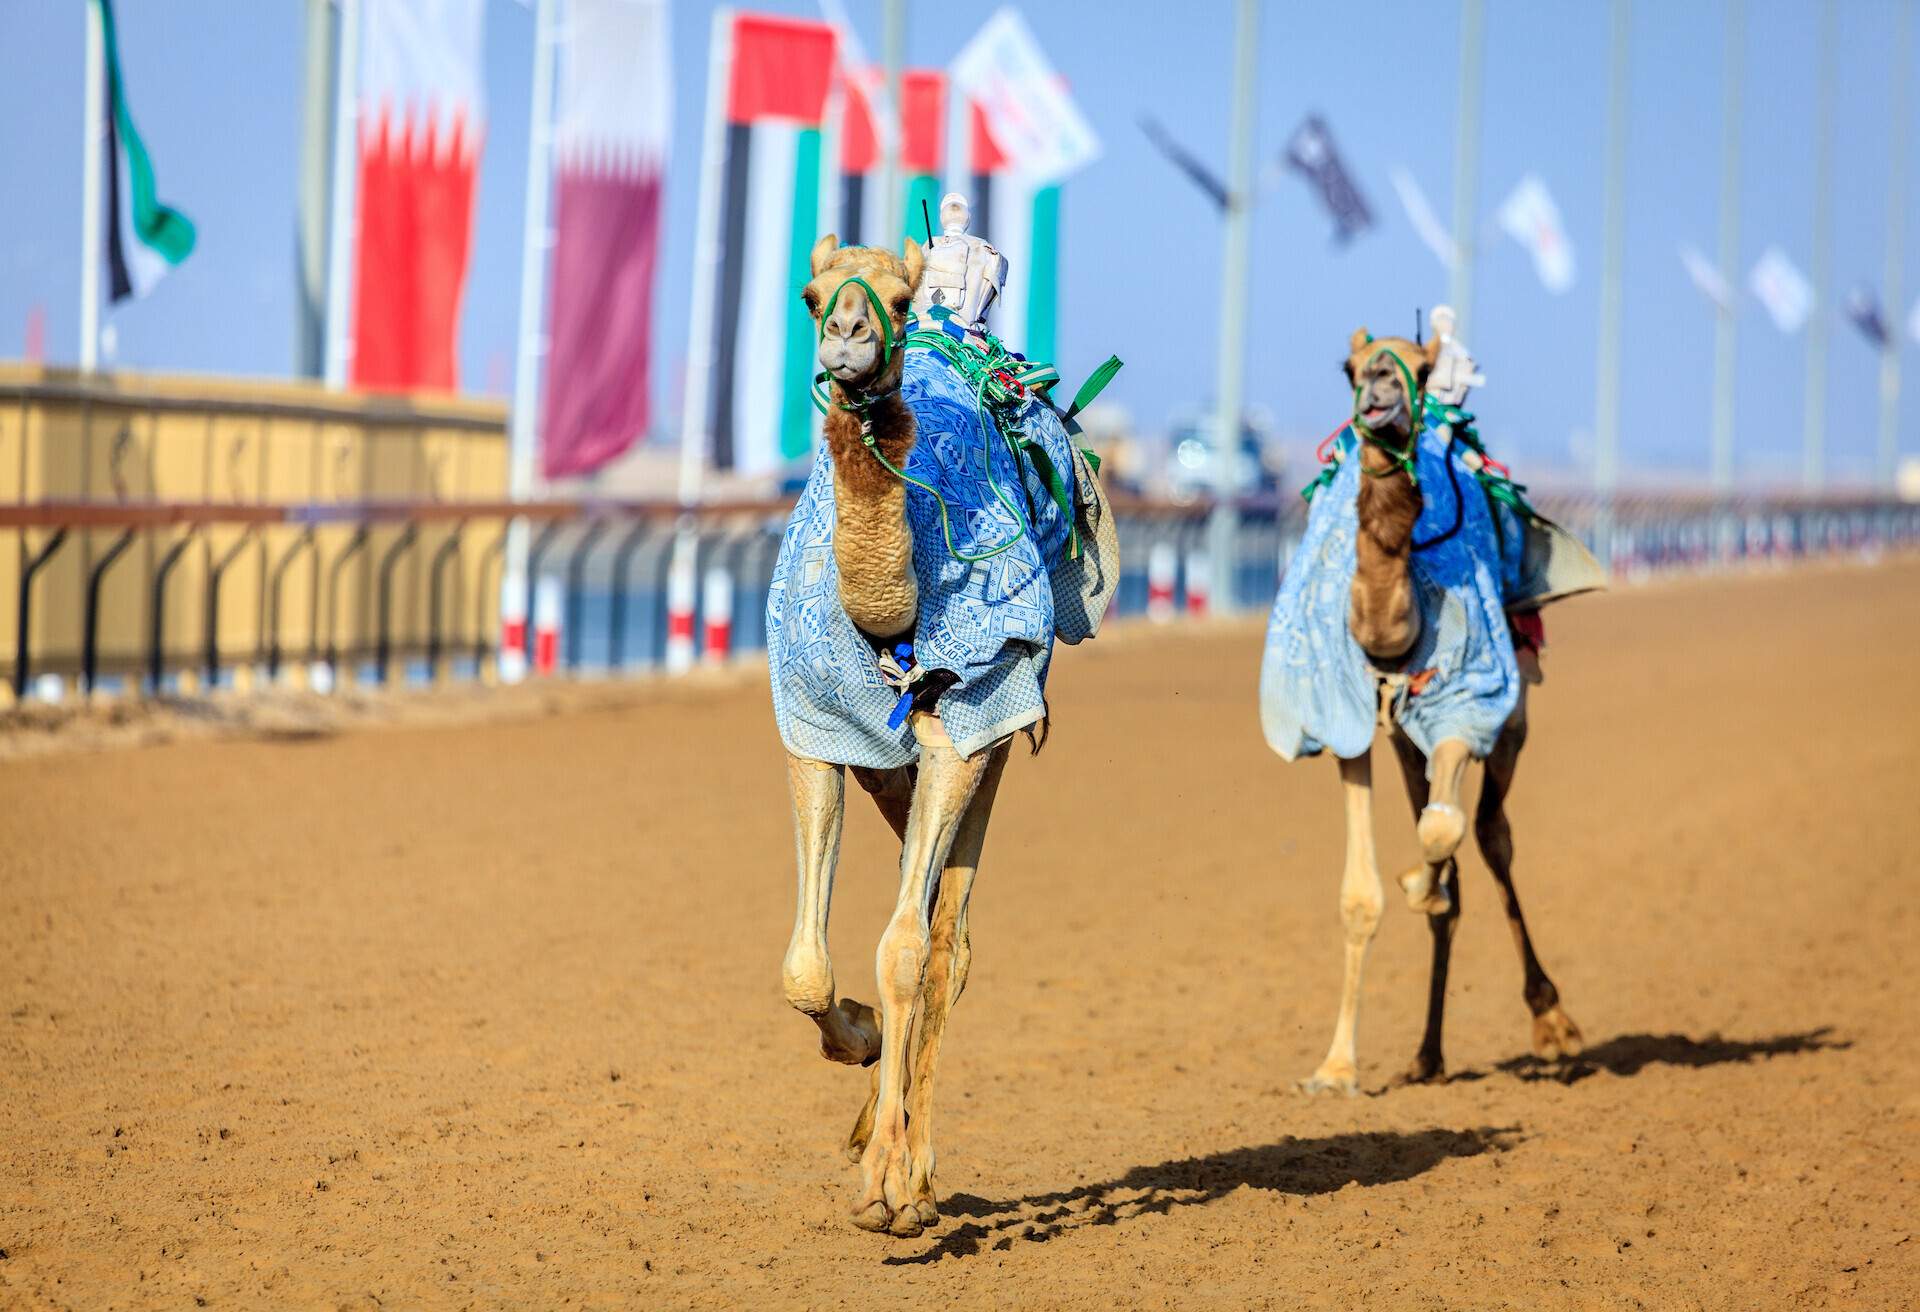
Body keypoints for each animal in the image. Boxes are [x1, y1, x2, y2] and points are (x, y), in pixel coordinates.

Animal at [768, 230, 1113, 1237]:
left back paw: (914, 1174)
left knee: (946, 938)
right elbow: (806, 967)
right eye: (810, 295)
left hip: (995, 733)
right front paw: (858, 1038)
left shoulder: (969, 726)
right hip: (892, 769)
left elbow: (905, 950)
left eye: (898, 295)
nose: (848, 339)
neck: (892, 613)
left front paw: (888, 1190)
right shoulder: (816, 732)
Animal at [1259, 322, 1589, 1091]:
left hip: (1510, 720)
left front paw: (1419, 882)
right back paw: (1428, 1054)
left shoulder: (1465, 711)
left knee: (1491, 835)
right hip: (1405, 741)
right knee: (1458, 846)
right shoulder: (1348, 729)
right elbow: (1362, 895)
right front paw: (1335, 1068)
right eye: (1349, 366)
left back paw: (1549, 1018)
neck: (1388, 635)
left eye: (1423, 365)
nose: (1379, 387)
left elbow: (1444, 831)